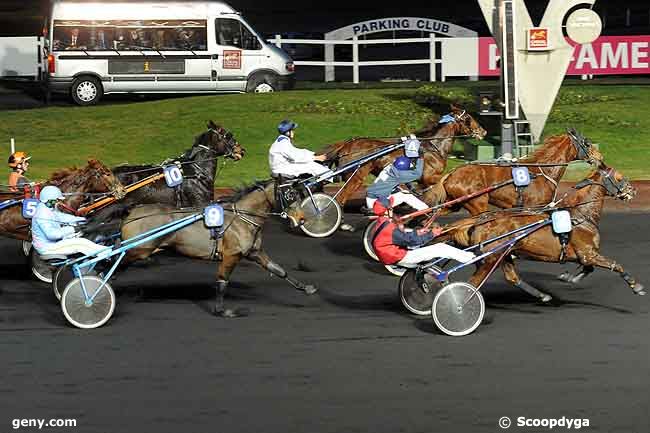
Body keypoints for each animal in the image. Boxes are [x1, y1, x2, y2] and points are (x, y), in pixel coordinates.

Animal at [119, 179, 316, 318]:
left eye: (297, 194)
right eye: (289, 195)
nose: (302, 219)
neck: (242, 218)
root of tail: (133, 212)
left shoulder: (254, 252)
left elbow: (279, 270)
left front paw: (307, 288)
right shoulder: (231, 255)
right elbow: (222, 281)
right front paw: (223, 311)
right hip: (138, 249)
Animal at [316, 103, 484, 208]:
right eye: (468, 118)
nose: (483, 131)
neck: (432, 146)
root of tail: (346, 145)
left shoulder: (422, 182)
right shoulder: (428, 177)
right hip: (356, 176)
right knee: (340, 199)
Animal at [426, 128, 604, 216]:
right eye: (587, 143)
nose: (600, 157)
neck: (543, 171)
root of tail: (451, 174)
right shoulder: (531, 208)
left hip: (453, 204)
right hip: (477, 203)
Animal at [442, 163, 640, 304]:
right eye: (619, 177)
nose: (633, 190)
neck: (580, 216)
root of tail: (480, 221)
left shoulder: (584, 255)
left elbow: (587, 268)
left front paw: (567, 277)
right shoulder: (588, 253)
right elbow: (616, 265)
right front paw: (636, 286)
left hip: (503, 255)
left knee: (512, 277)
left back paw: (542, 296)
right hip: (491, 257)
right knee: (473, 284)